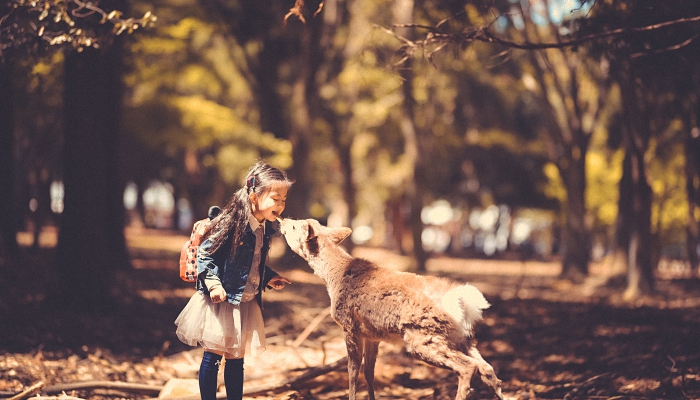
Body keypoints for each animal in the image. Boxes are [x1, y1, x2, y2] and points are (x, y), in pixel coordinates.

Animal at [278, 217, 504, 398]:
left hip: (423, 337)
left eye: (295, 226)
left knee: (468, 367)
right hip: (462, 338)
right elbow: (369, 372)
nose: (283, 219)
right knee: (487, 368)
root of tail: (461, 302)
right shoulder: (372, 335)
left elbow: (352, 372)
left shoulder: (349, 325)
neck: (333, 277)